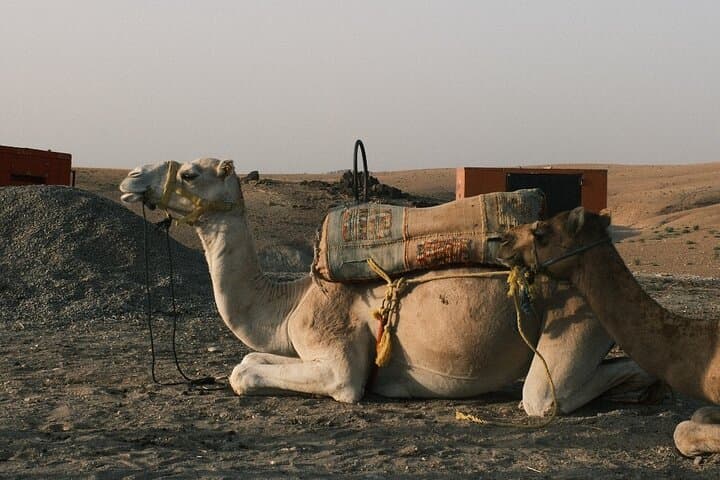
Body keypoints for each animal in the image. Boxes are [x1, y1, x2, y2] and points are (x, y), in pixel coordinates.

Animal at [119, 157, 659, 416]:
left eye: (191, 172)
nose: (131, 178)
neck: (291, 301)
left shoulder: (339, 365)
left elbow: (246, 374)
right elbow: (248, 360)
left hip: (579, 316)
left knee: (546, 395)